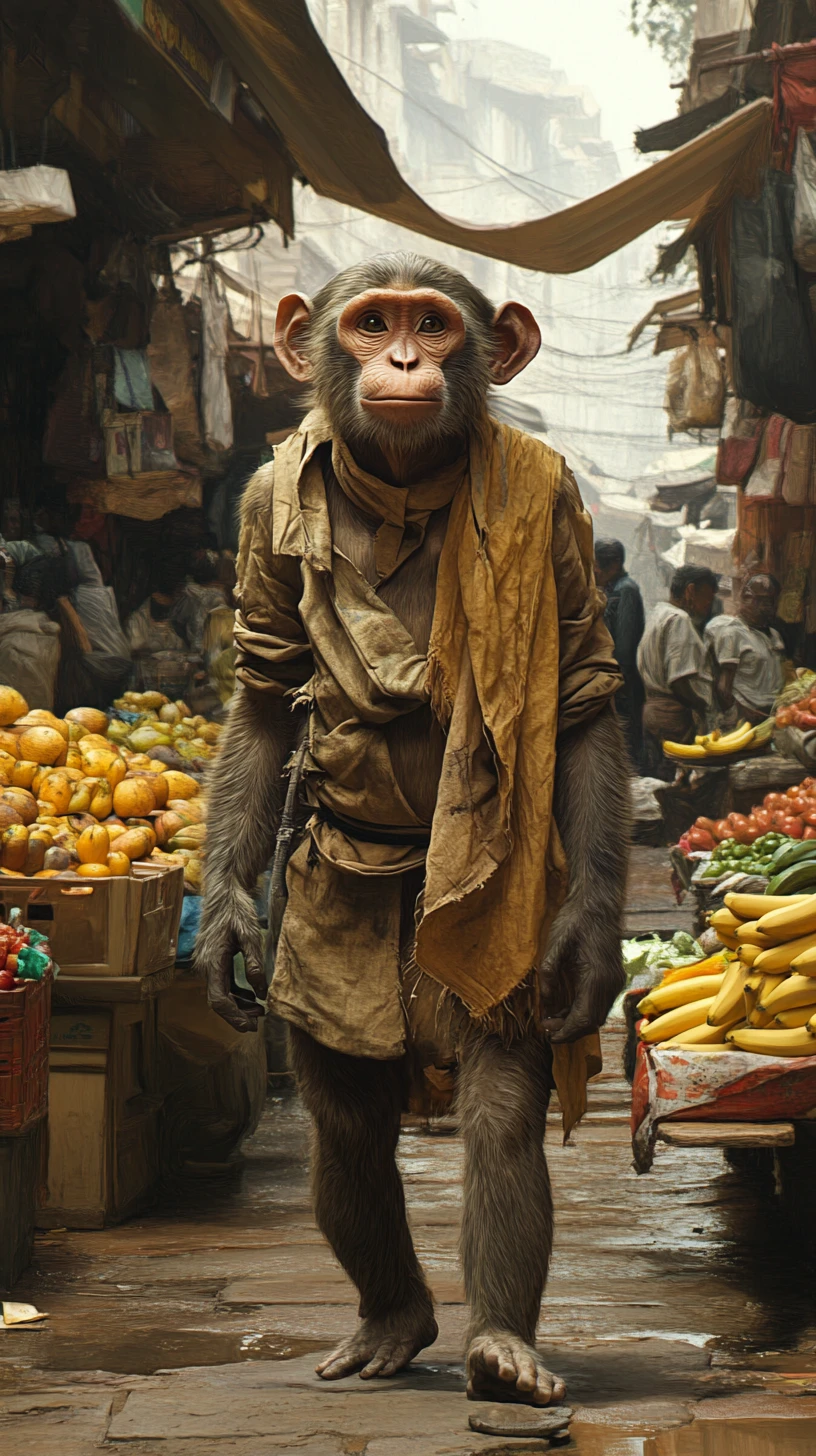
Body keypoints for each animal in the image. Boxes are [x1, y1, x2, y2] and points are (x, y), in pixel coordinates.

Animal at [196, 252, 630, 1409]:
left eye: (432, 326)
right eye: (371, 321)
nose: (398, 361)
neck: (396, 493)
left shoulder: (556, 511)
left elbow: (580, 691)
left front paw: (592, 953)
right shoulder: (262, 510)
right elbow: (267, 687)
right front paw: (223, 926)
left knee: (497, 1111)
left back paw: (498, 1344)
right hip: (326, 948)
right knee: (347, 1122)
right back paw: (394, 1319)